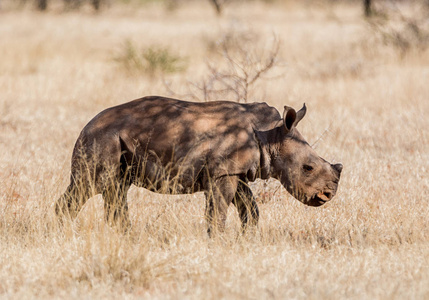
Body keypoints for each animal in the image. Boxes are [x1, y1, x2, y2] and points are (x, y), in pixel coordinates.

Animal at [55, 96, 342, 234]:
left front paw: (247, 238)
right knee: (91, 185)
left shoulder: (233, 170)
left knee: (116, 189)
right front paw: (217, 241)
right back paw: (62, 233)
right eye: (308, 168)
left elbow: (250, 208)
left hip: (114, 140)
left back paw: (126, 237)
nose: (327, 195)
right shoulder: (223, 172)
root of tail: (87, 125)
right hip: (102, 138)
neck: (271, 134)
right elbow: (218, 210)